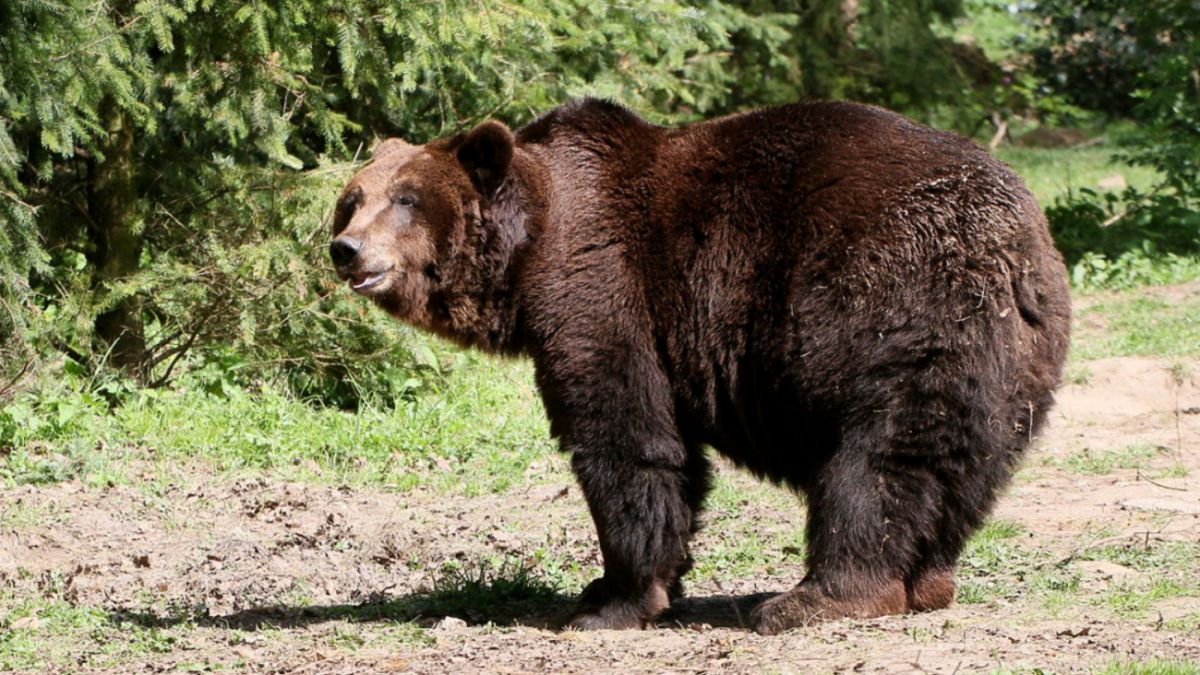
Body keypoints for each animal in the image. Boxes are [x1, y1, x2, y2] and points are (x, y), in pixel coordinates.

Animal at [326, 98, 1070, 629]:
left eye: (406, 199)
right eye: (353, 199)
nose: (346, 249)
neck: (530, 246)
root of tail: (1019, 241)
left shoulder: (604, 287)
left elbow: (625, 438)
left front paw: (616, 600)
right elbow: (675, 458)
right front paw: (616, 584)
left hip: (895, 301)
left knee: (878, 459)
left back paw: (816, 597)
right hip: (1010, 362)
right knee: (961, 465)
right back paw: (927, 581)